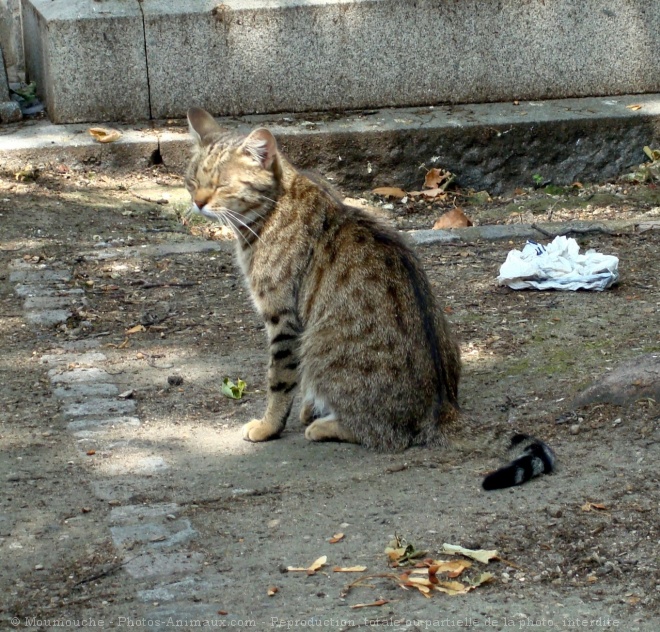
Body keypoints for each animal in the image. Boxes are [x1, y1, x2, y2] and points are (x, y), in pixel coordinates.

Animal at [184, 110, 458, 454]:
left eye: (222, 185)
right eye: (192, 181)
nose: (198, 202)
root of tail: (439, 413)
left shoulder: (283, 319)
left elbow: (280, 381)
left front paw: (268, 426)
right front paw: (308, 407)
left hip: (318, 347)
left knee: (383, 434)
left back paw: (326, 425)